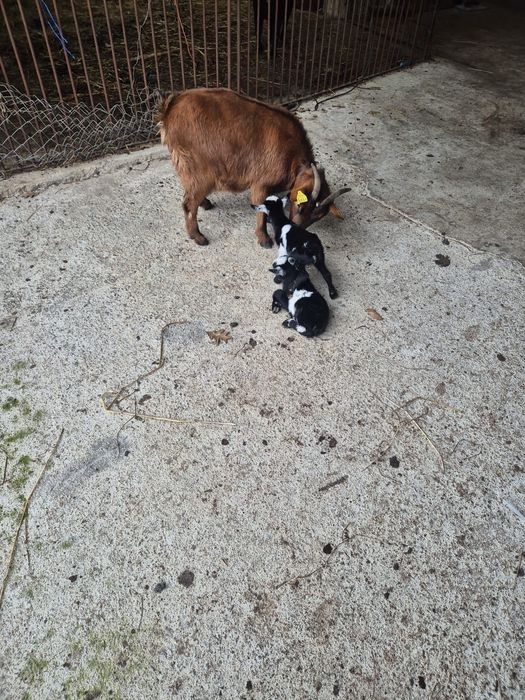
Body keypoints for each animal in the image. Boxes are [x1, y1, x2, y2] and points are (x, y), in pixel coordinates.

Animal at [155, 88, 349, 247]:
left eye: (316, 218)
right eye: (301, 206)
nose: (296, 230)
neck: (293, 158)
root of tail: (169, 109)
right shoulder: (261, 183)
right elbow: (260, 209)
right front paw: (264, 239)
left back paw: (205, 203)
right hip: (201, 168)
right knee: (188, 204)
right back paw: (198, 236)